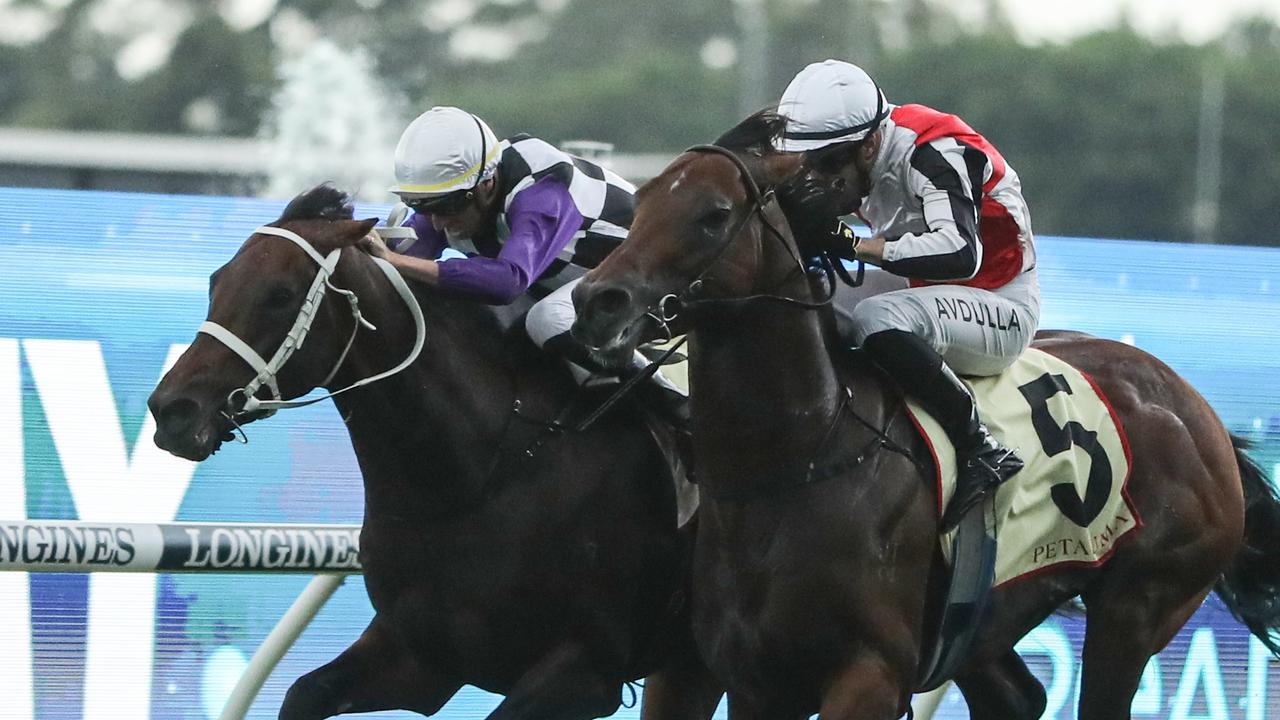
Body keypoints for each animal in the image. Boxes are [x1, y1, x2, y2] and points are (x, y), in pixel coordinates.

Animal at [146, 183, 727, 717]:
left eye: (280, 295)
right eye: (217, 281)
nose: (172, 410)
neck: (477, 477)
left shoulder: (584, 669)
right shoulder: (422, 656)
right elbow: (306, 693)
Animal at [570, 114, 1280, 712]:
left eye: (713, 216)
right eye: (642, 201)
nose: (596, 300)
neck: (801, 460)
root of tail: (1199, 414)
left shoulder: (869, 675)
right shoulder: (751, 678)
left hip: (1138, 606)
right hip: (987, 622)